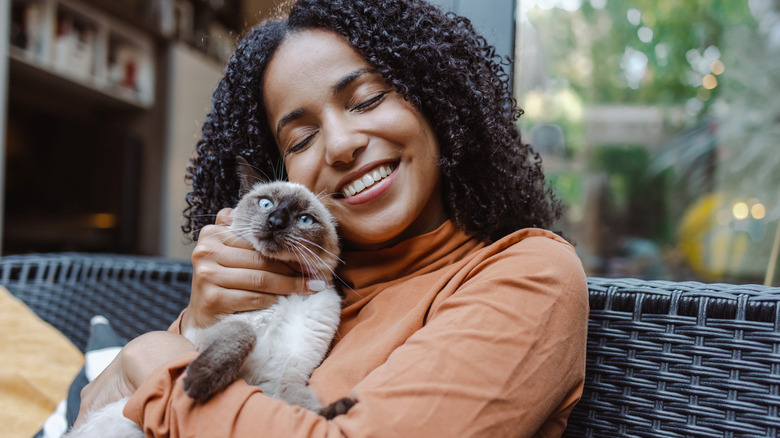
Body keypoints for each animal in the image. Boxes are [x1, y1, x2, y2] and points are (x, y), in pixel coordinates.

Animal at [67, 158, 354, 438]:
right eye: (266, 204)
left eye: (305, 219)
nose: (275, 221)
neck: (284, 297)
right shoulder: (208, 335)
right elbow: (244, 333)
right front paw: (198, 382)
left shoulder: (289, 373)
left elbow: (302, 405)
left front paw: (334, 410)